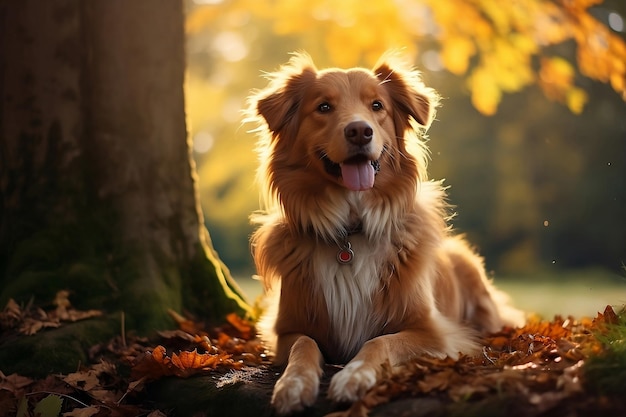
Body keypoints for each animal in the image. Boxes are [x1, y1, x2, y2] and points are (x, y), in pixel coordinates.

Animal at [246, 52, 524, 412]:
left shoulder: (434, 332)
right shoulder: (285, 331)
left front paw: (354, 376)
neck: (351, 232)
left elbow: (380, 342)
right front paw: (293, 384)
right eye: (323, 107)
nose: (359, 131)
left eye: (377, 105)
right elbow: (304, 345)